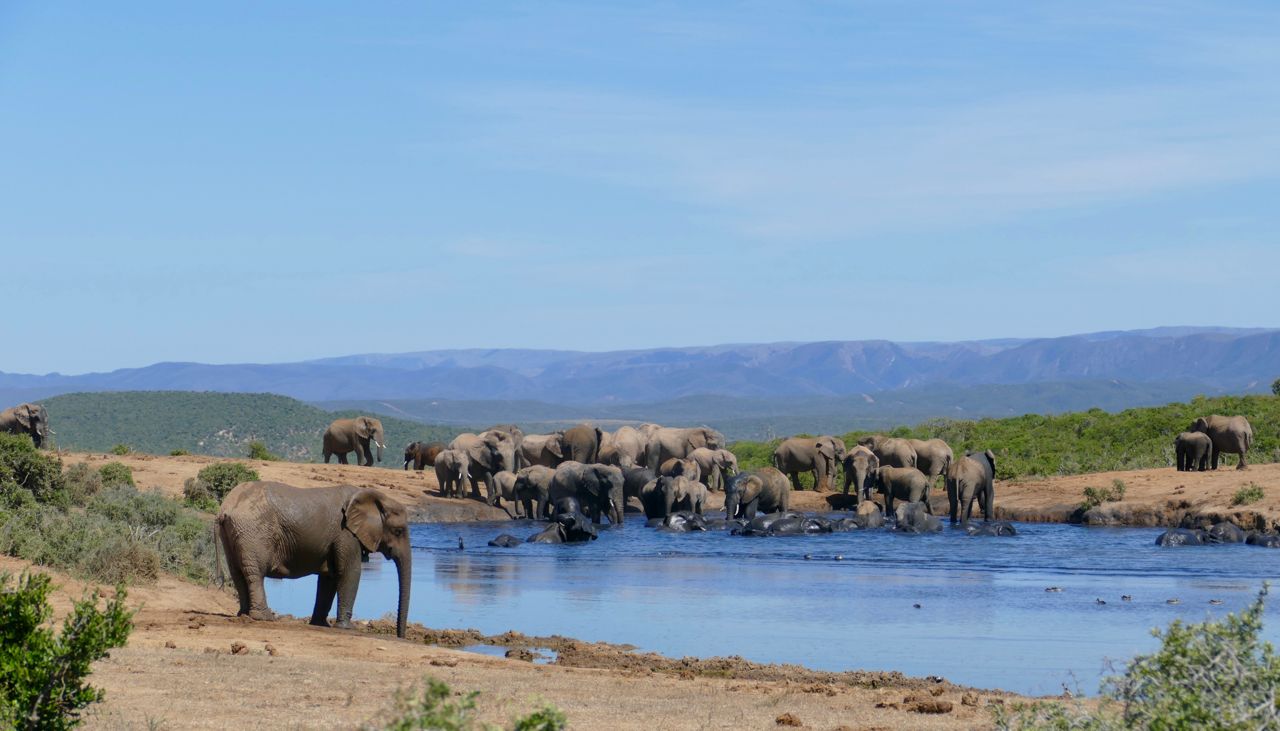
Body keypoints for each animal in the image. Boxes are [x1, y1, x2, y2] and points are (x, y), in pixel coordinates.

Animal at [216, 481, 411, 638]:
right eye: (398, 531)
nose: (400, 636)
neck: (372, 497)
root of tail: (226, 509)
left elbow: (329, 578)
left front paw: (320, 624)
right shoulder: (346, 534)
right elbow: (350, 573)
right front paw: (347, 628)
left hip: (234, 533)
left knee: (238, 572)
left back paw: (243, 614)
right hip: (253, 532)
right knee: (255, 574)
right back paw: (265, 618)